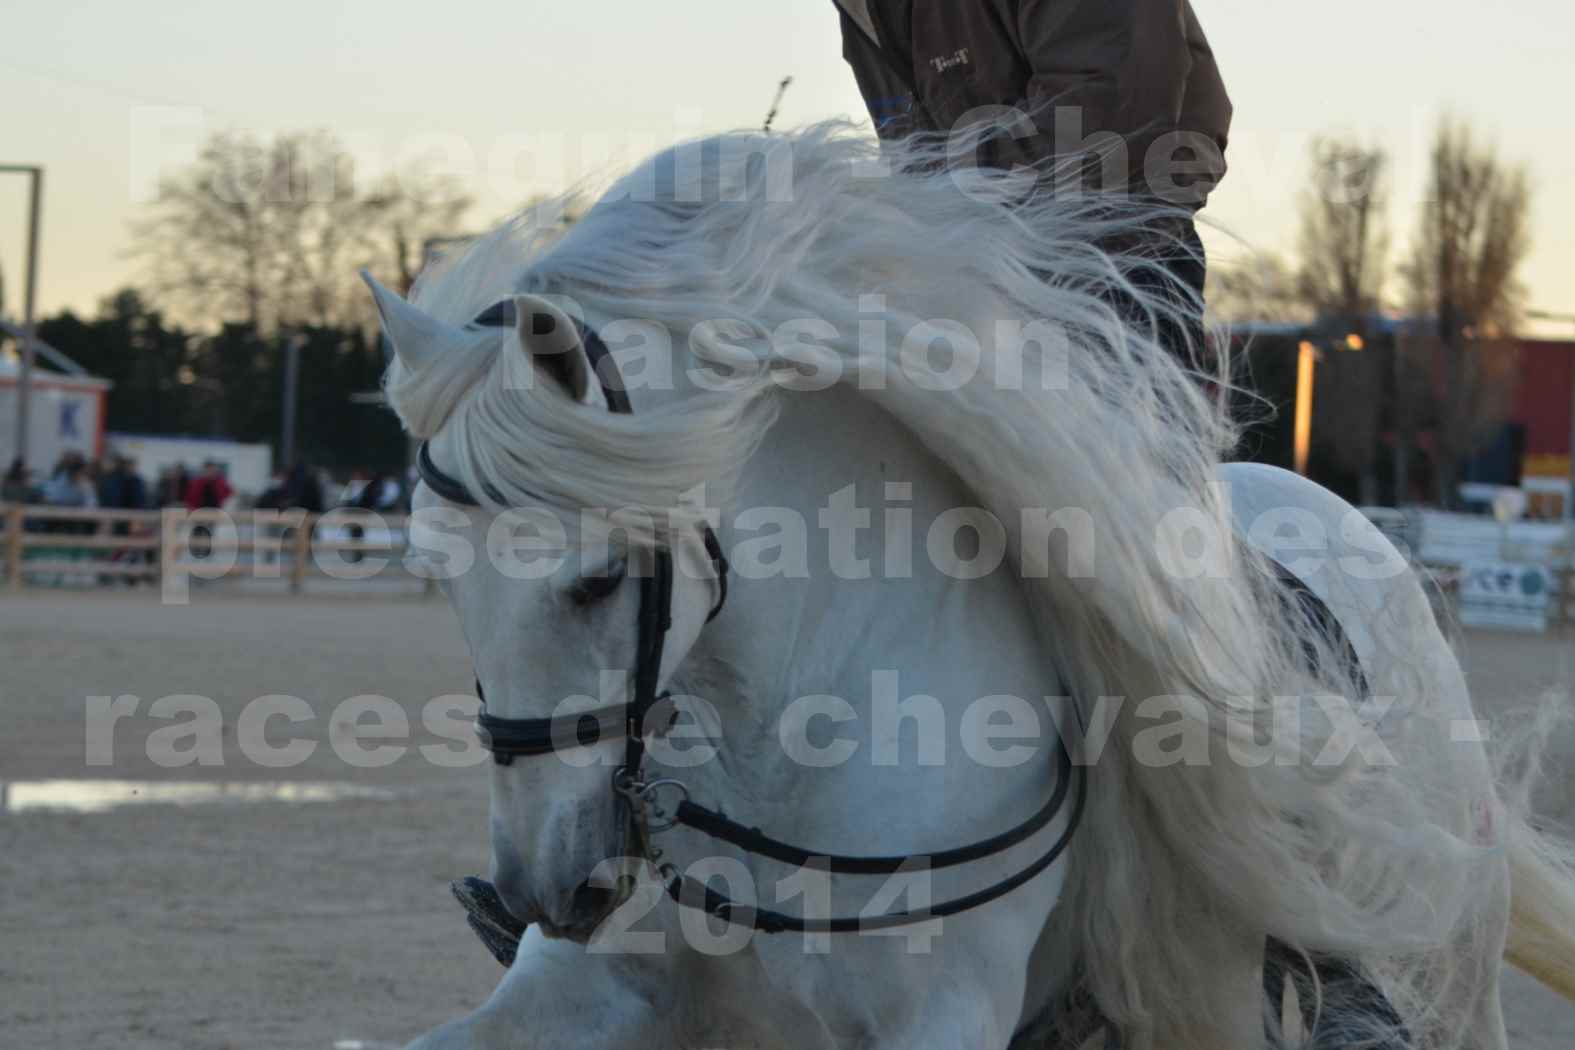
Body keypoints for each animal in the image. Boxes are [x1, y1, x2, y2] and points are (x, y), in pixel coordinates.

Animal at [371, 125, 1575, 1050]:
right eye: (443, 580)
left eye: (599, 580)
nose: (544, 887)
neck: (785, 748)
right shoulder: (594, 993)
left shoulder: (939, 1021)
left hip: (1431, 974)